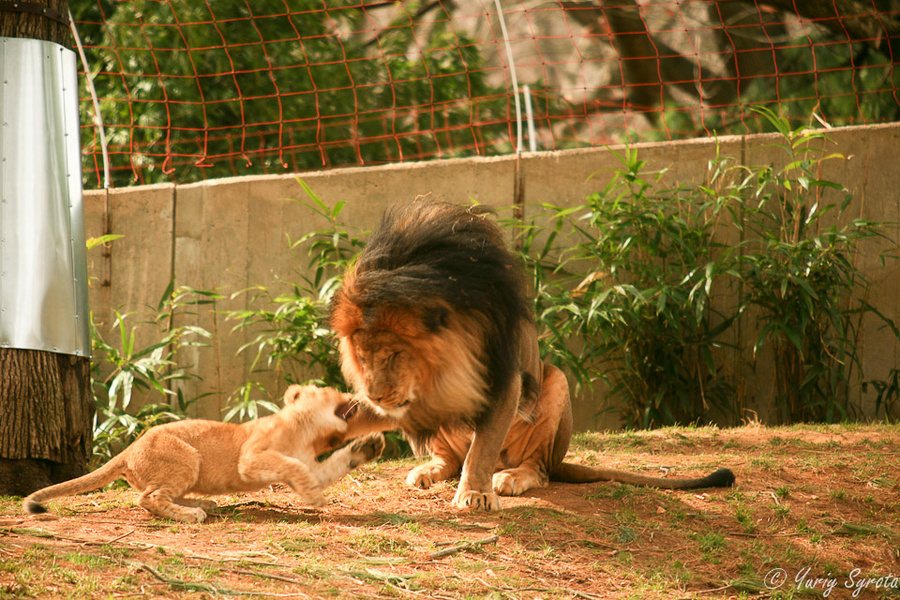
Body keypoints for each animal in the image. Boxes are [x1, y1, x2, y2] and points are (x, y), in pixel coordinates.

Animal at [334, 202, 736, 510]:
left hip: (555, 382)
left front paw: (475, 494)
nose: (375, 395)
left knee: (537, 469)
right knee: (449, 458)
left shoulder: (505, 379)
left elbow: (482, 449)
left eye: (395, 355)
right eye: (362, 357)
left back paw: (510, 476)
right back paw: (428, 470)